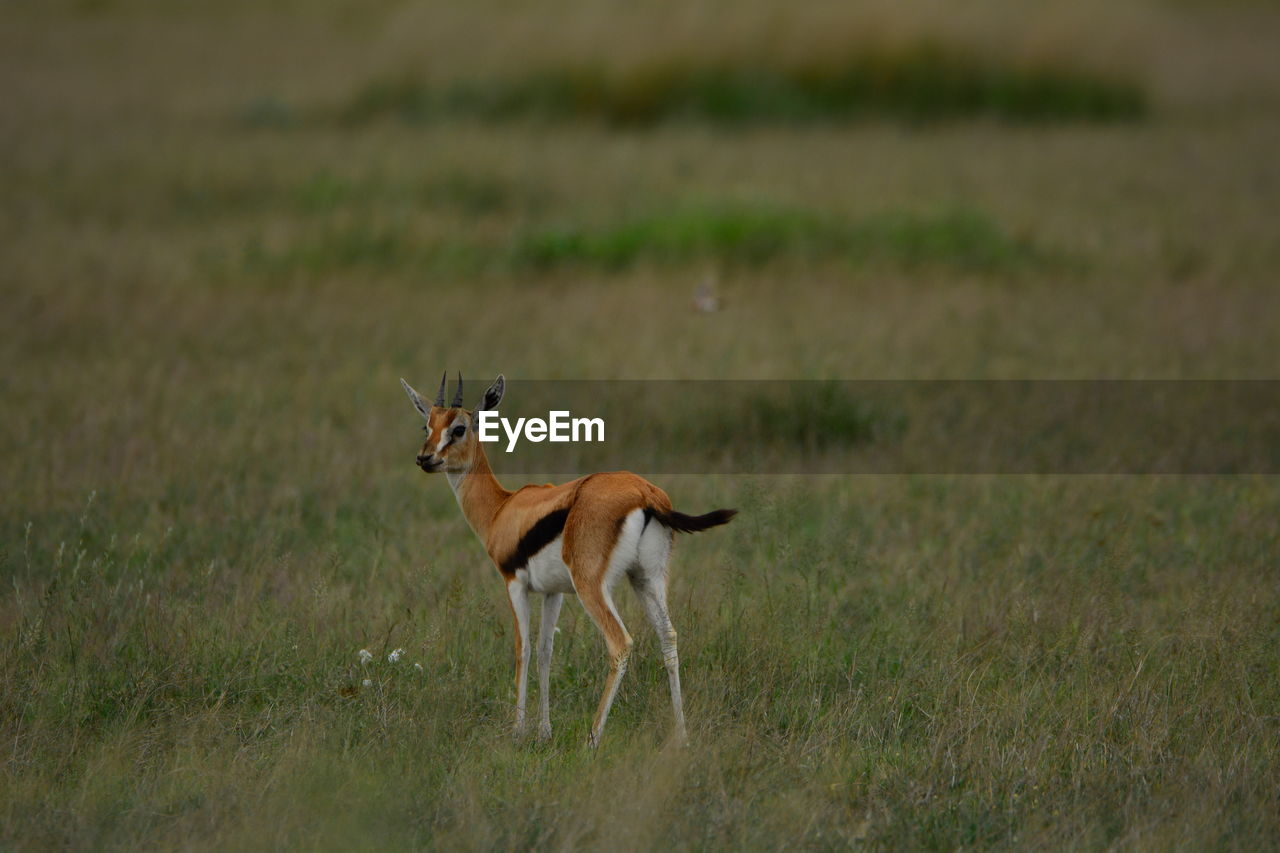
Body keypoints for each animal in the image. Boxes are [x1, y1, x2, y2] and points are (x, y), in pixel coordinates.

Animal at [401, 373, 736, 747]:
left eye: (458, 428)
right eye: (427, 425)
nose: (424, 458)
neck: (503, 509)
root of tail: (645, 494)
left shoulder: (515, 583)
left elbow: (523, 649)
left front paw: (518, 731)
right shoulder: (554, 592)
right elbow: (545, 651)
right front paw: (544, 731)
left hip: (592, 585)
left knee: (620, 644)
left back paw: (592, 739)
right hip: (647, 578)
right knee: (669, 637)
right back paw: (681, 737)